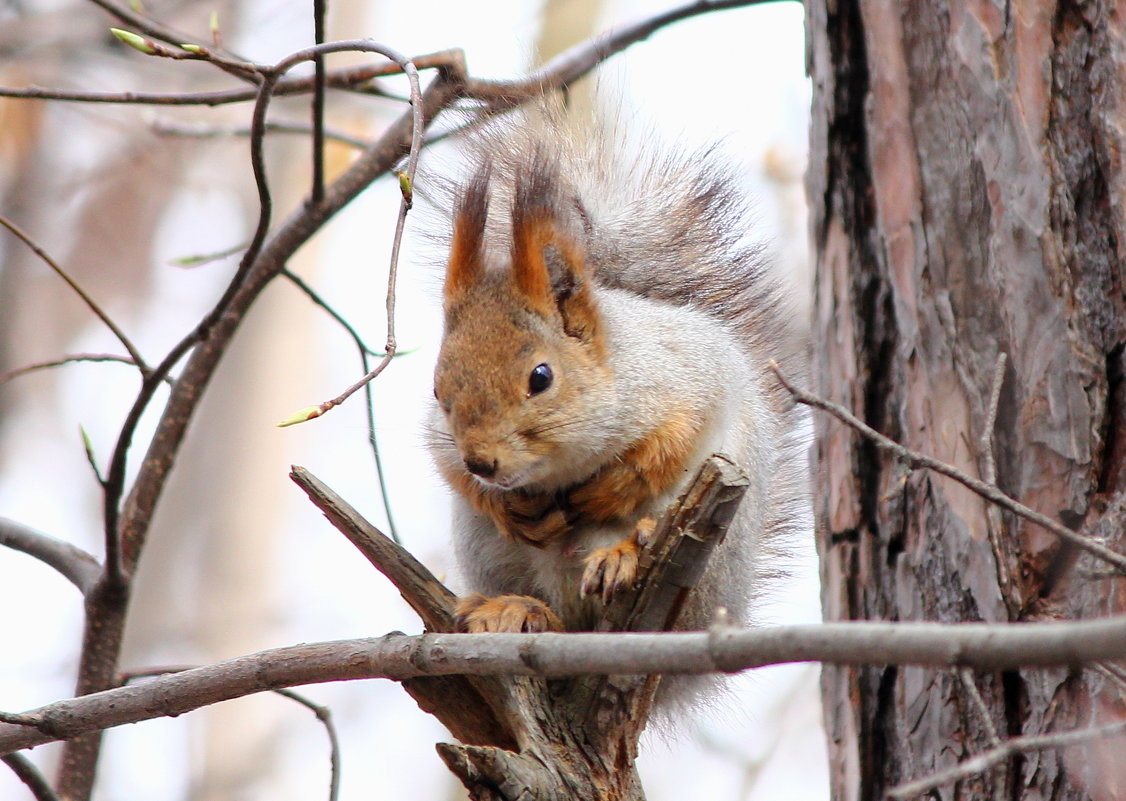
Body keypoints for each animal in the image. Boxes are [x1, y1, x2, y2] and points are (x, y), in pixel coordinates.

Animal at [423, 101, 810, 689]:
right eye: (438, 387)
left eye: (541, 377)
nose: (484, 462)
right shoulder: (439, 437)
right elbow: (446, 464)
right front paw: (507, 506)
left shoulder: (690, 374)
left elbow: (676, 436)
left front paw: (615, 486)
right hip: (486, 550)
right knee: (554, 616)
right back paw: (516, 608)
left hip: (710, 555)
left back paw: (623, 553)